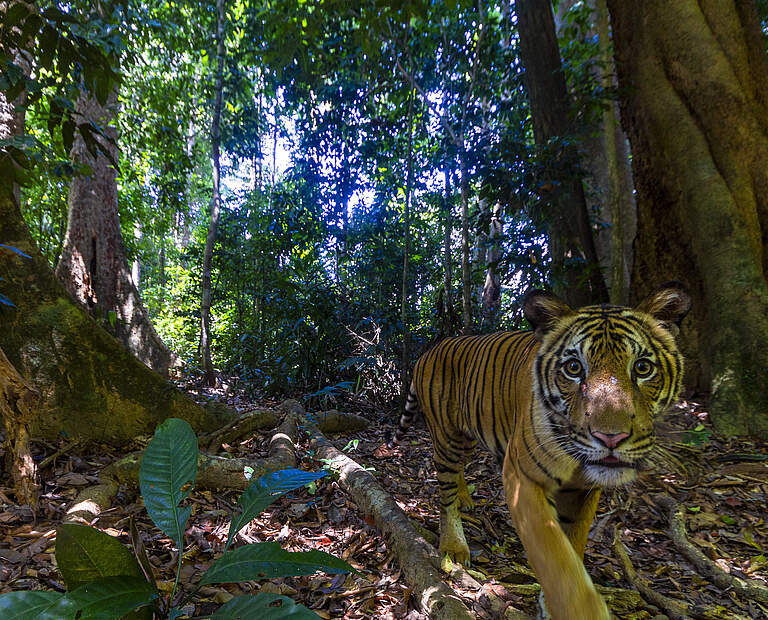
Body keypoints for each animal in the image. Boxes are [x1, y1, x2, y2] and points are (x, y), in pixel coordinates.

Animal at [396, 284, 688, 616]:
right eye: (574, 368)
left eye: (642, 367)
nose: (611, 438)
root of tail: (430, 350)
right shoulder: (522, 477)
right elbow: (554, 553)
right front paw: (579, 609)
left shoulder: (586, 490)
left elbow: (574, 543)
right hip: (447, 437)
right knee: (445, 496)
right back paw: (454, 547)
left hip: (468, 436)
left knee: (459, 471)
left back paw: (465, 499)